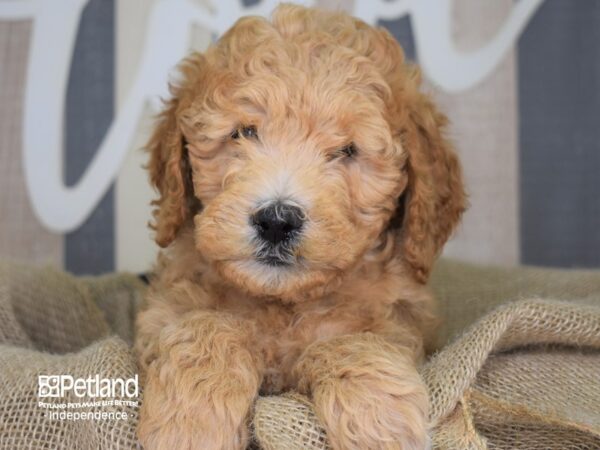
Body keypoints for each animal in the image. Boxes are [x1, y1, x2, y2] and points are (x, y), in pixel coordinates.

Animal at [135, 4, 464, 450]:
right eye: (243, 132)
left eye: (347, 150)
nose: (276, 221)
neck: (283, 303)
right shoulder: (167, 306)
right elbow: (204, 326)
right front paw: (189, 424)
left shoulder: (400, 319)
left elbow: (356, 339)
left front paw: (379, 419)